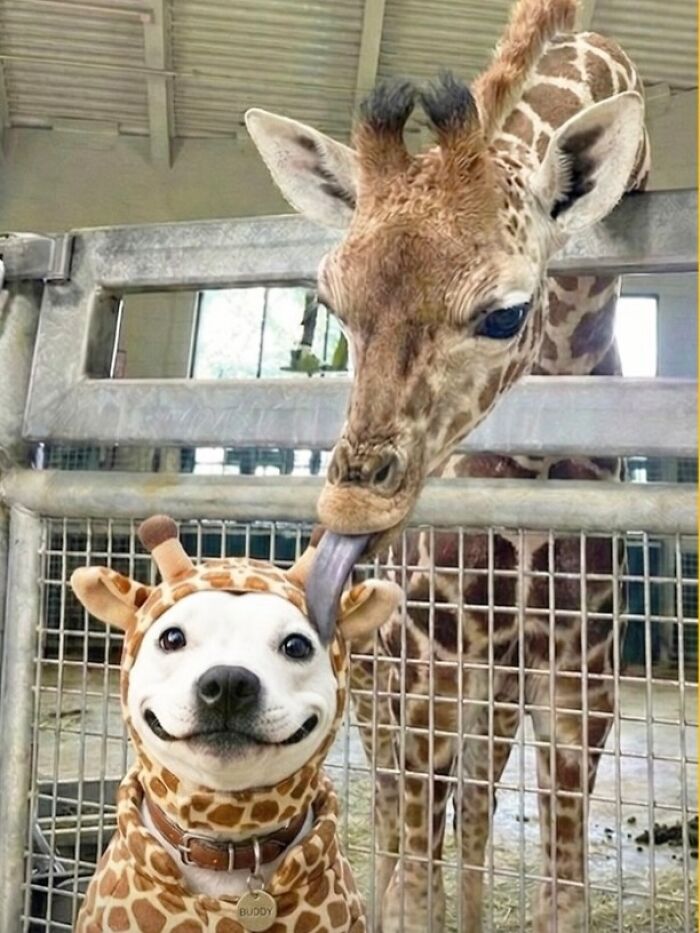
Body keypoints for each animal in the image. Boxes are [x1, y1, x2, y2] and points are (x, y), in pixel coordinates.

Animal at [246, 1, 649, 929]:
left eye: (504, 314)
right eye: (331, 302)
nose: (351, 512)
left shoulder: (577, 678)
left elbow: (559, 893)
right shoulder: (431, 672)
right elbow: (414, 887)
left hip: (487, 693)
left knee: (472, 808)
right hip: (379, 687)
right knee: (395, 820)